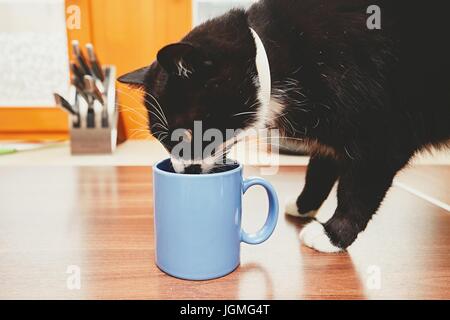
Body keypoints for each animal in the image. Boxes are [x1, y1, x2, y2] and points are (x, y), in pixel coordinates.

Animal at [119, 0, 450, 252]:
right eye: (161, 139)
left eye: (185, 133)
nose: (183, 171)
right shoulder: (332, 130)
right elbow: (320, 167)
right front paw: (304, 206)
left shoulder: (382, 132)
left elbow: (357, 188)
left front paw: (333, 234)